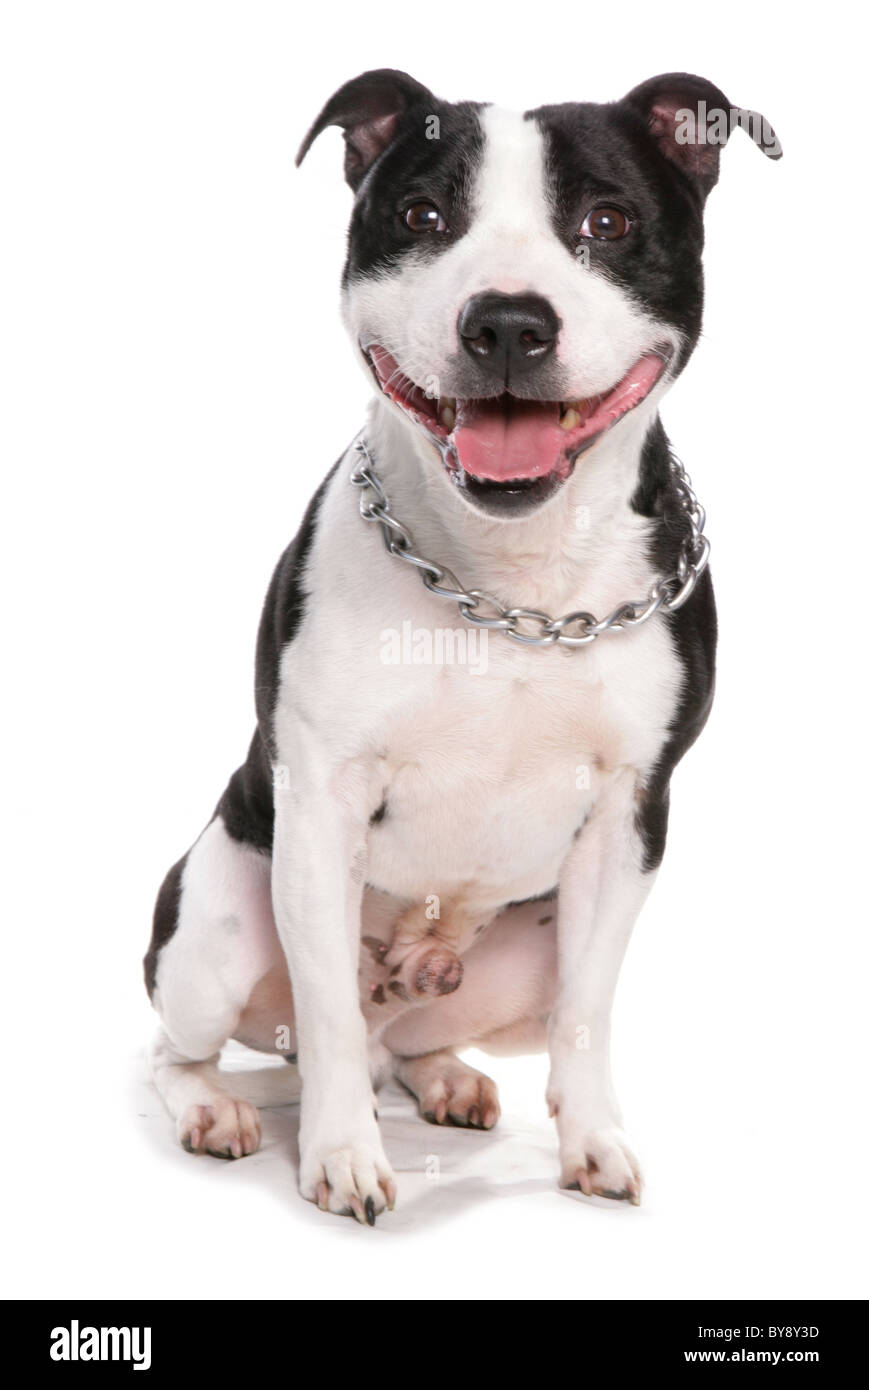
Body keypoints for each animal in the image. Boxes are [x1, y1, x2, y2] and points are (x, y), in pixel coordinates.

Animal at [143, 73, 778, 1228]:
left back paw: (443, 1074)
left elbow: (587, 1010)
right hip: (217, 924)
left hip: (517, 953)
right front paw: (341, 1157)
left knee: (403, 1043)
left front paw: (593, 1140)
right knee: (206, 1048)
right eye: (422, 215)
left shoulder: (630, 815)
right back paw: (216, 1107)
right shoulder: (320, 803)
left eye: (608, 223)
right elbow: (329, 1019)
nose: (509, 323)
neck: (511, 587)